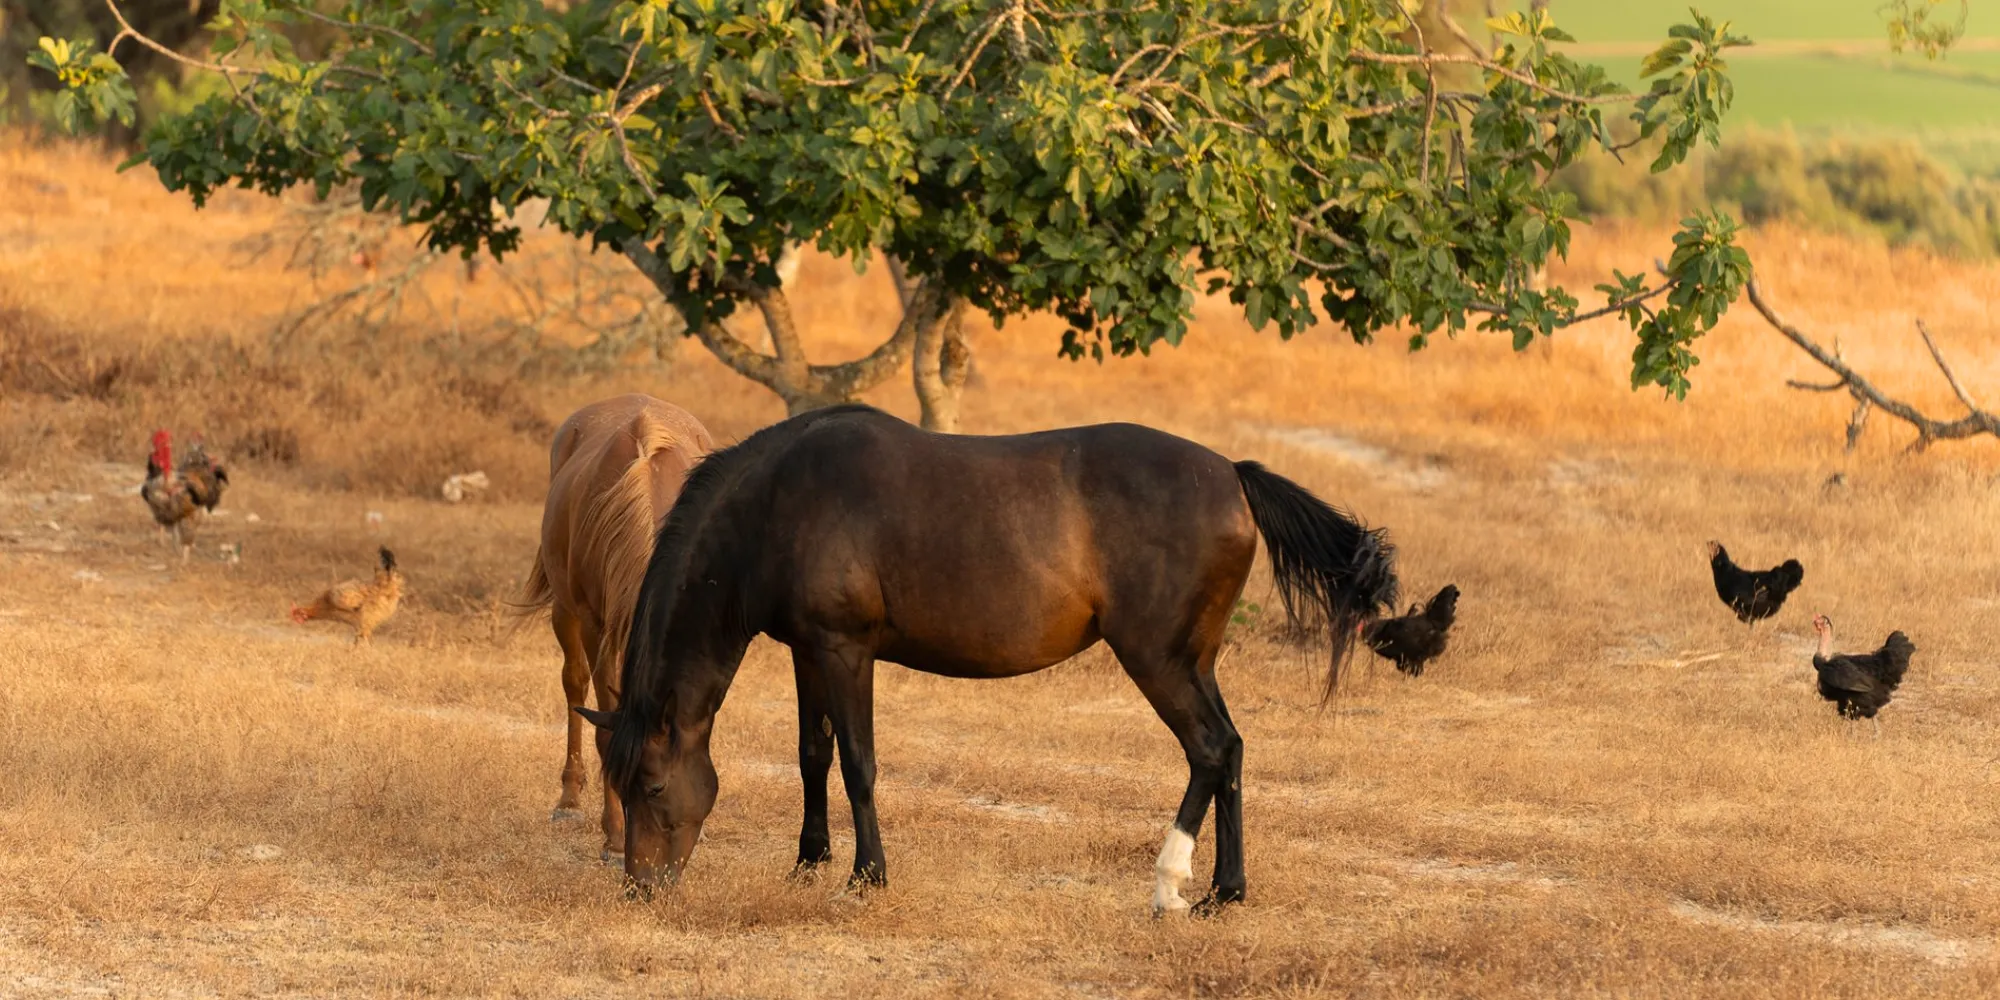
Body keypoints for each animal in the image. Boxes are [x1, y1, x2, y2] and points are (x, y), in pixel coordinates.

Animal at [515, 394, 714, 863]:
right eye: (638, 784)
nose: (653, 855)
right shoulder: (597, 627)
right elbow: (604, 731)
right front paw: (613, 838)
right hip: (565, 612)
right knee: (574, 684)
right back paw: (569, 801)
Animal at [577, 404, 1397, 915]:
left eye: (652, 786)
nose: (640, 889)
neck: (780, 502)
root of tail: (1232, 473)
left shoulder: (846, 652)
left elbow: (859, 764)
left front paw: (865, 877)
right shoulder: (809, 651)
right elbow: (814, 755)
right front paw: (808, 863)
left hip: (1159, 661)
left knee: (1211, 750)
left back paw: (1172, 885)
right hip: (1193, 663)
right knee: (1229, 753)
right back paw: (1225, 891)